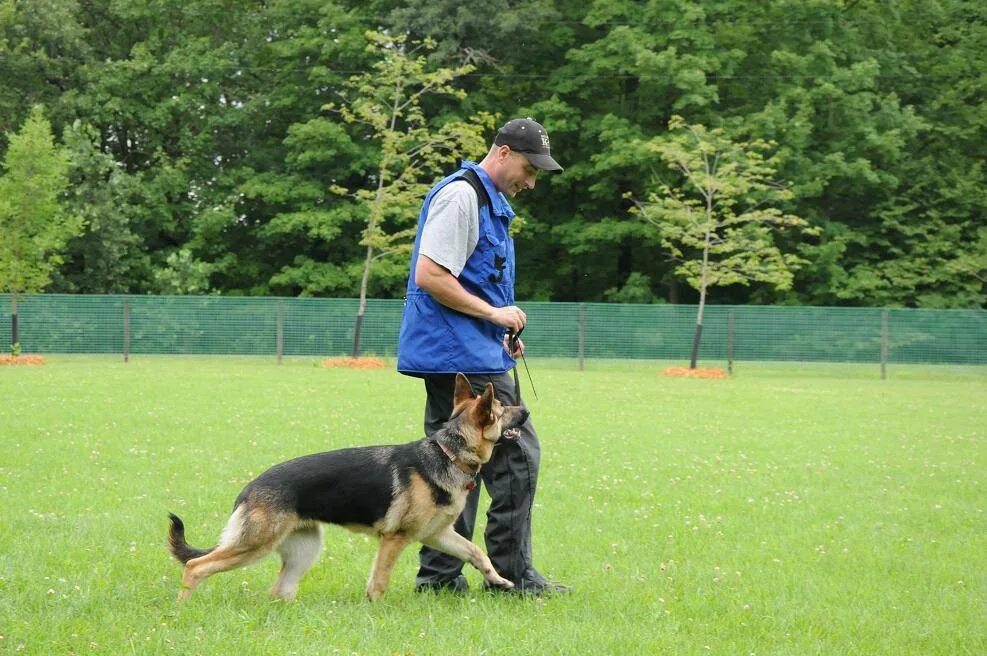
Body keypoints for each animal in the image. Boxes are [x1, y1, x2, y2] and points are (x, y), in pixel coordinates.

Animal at [166, 374, 528, 600]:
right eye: (501, 409)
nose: (525, 410)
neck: (449, 452)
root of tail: (249, 488)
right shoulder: (394, 540)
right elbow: (379, 581)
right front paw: (374, 609)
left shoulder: (437, 535)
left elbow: (477, 553)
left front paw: (498, 579)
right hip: (255, 545)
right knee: (196, 566)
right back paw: (183, 608)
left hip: (303, 550)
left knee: (278, 590)